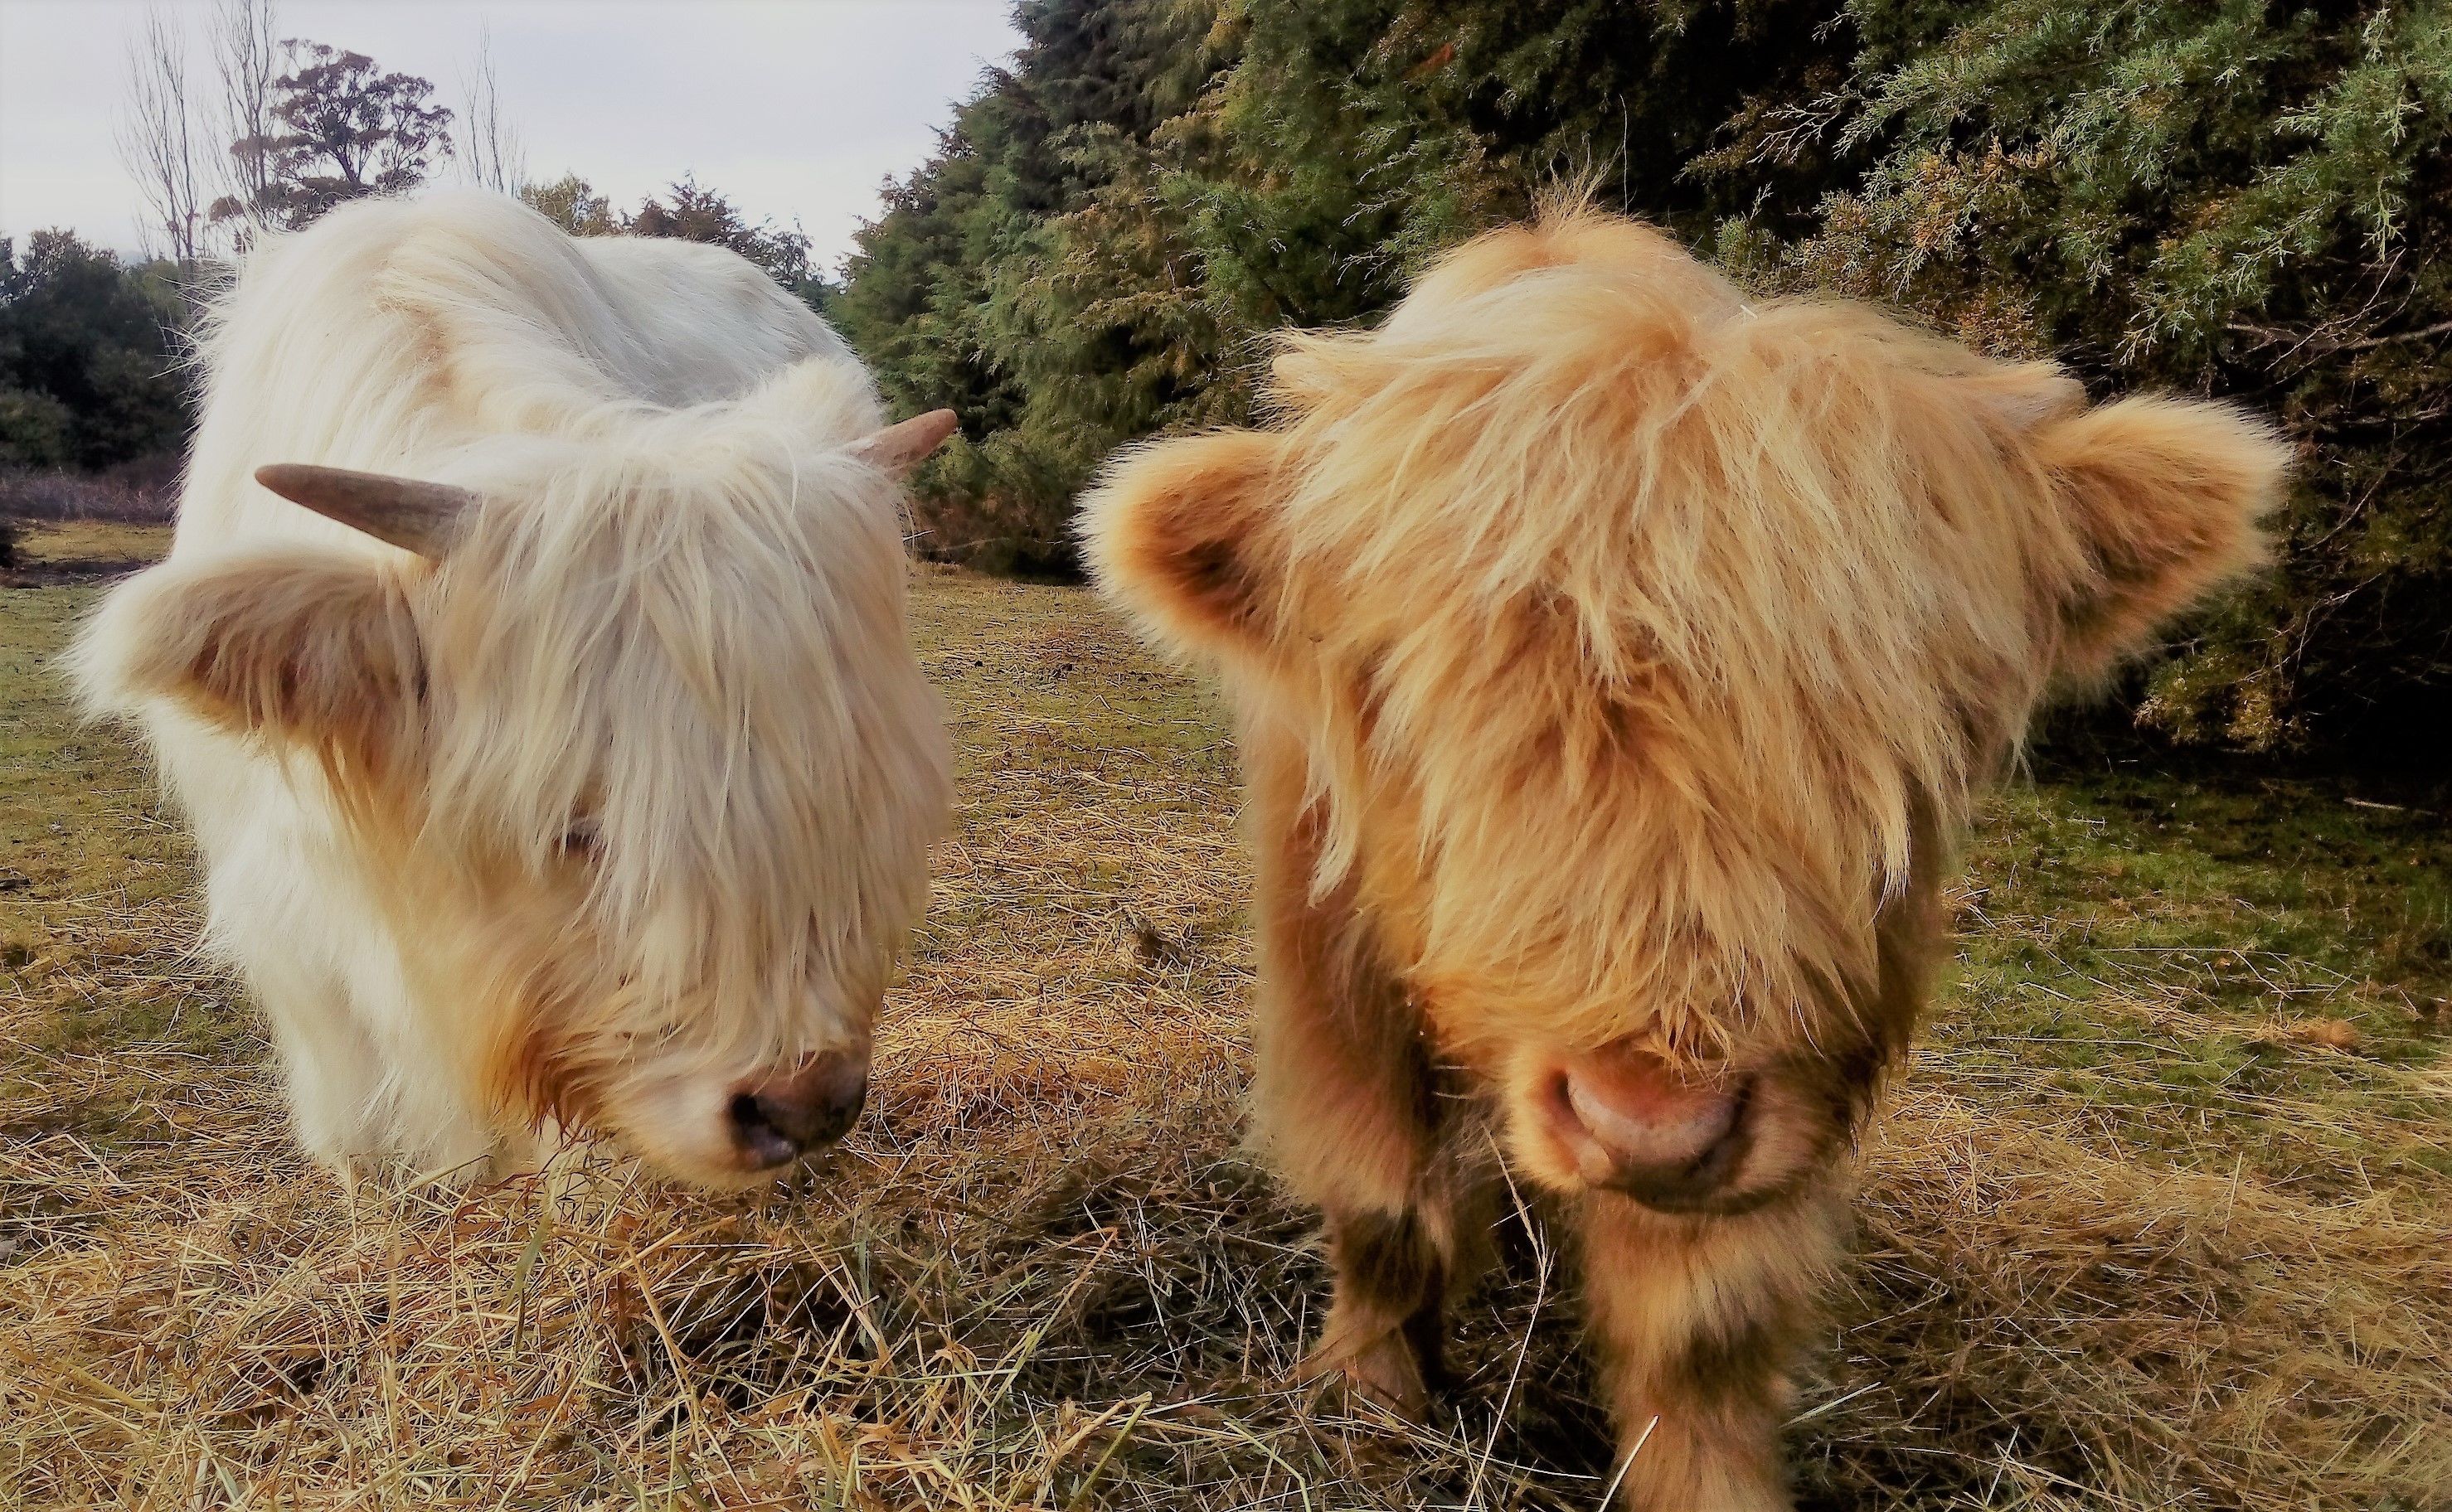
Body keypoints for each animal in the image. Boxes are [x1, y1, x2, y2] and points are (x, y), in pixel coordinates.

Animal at [1082, 207, 2290, 1510]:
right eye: (1418, 705)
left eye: (1896, 728)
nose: (1646, 1125)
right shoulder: (1330, 964)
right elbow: (1378, 1197)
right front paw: (1369, 1401)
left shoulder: (1789, 1061)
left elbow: (1703, 1326)